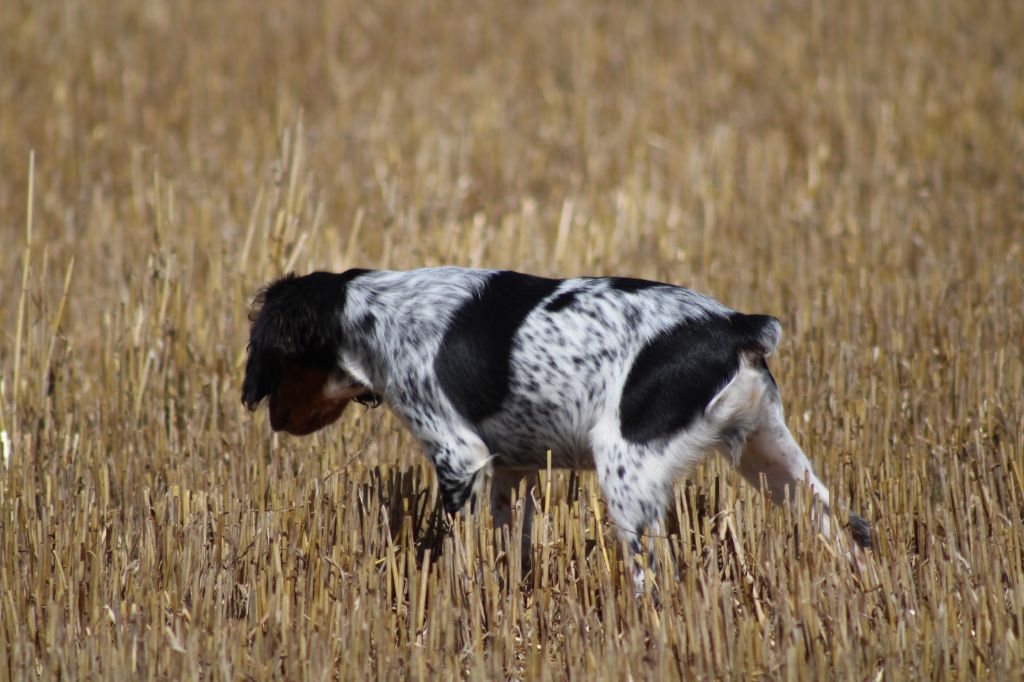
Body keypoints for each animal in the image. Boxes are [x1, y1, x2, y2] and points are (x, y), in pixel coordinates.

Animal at [241, 266, 872, 577]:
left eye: (275, 361)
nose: (274, 419)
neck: (372, 309)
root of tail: (735, 326)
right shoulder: (509, 470)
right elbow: (505, 546)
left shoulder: (458, 457)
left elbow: (460, 555)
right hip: (774, 458)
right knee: (844, 528)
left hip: (627, 474)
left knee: (656, 578)